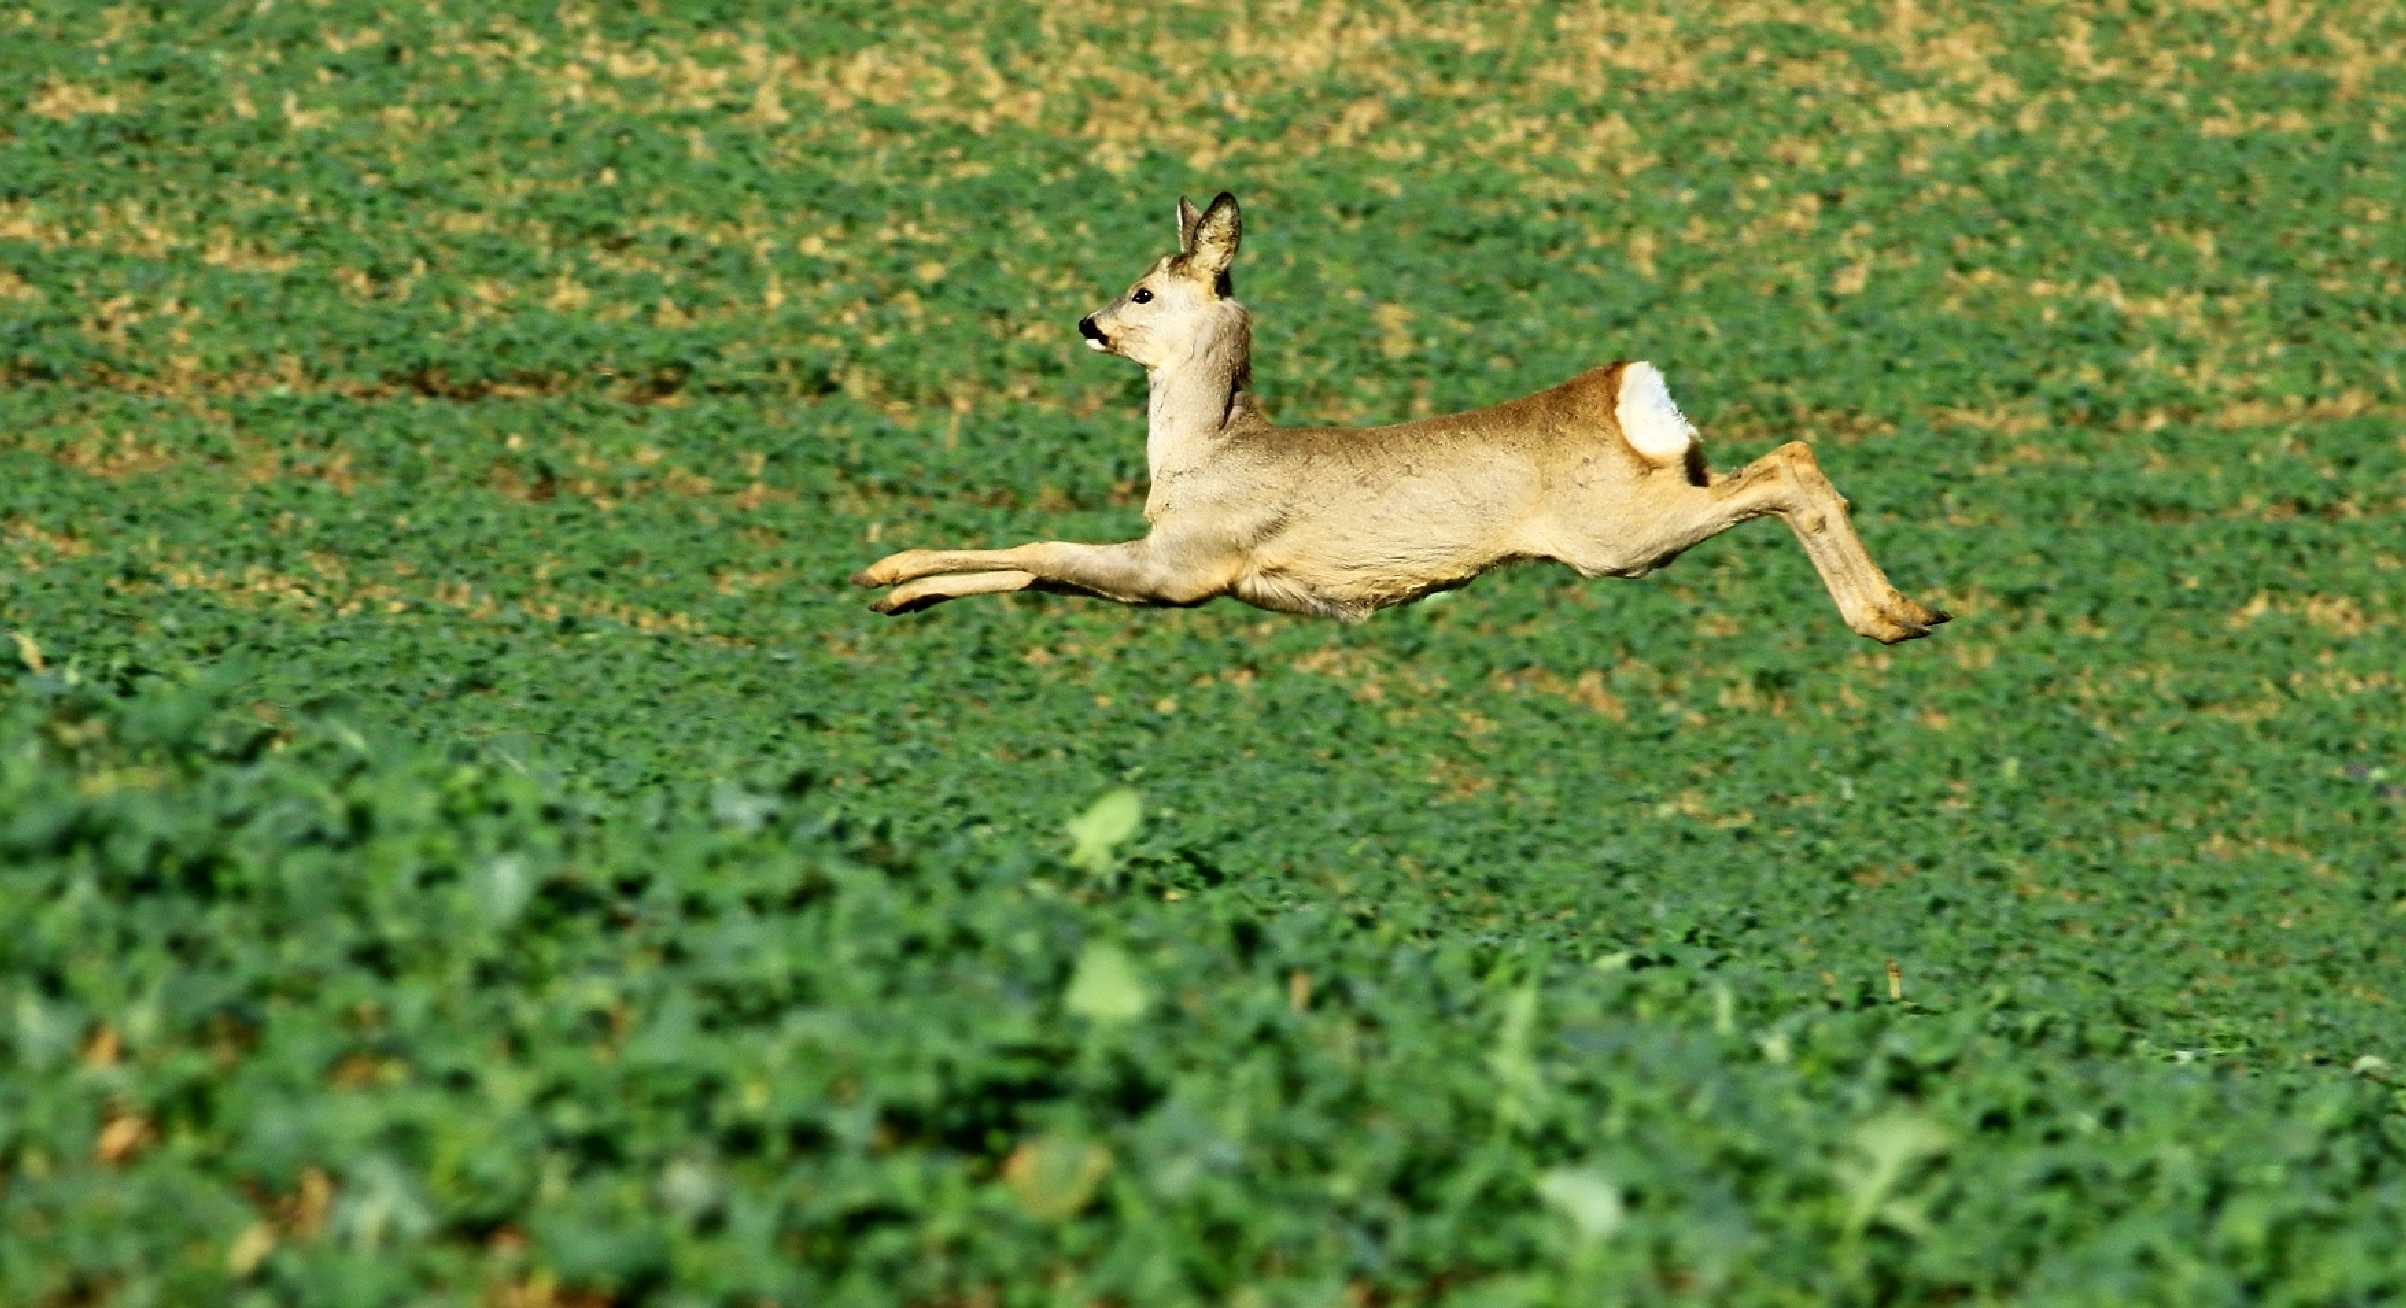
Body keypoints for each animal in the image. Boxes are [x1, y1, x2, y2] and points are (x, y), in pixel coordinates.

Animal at [856, 192, 1944, 644]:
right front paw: (902, 597)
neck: (1205, 455)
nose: (1087, 323)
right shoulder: (1179, 572)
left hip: (1614, 537)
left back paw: (1890, 617)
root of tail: (1623, 386)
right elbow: (1038, 569)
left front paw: (887, 570)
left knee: (1789, 464)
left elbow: (1042, 548)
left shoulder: (1189, 565)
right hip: (1657, 500)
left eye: (1142, 291)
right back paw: (1910, 613)